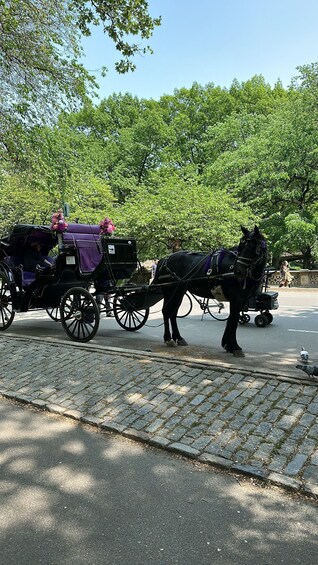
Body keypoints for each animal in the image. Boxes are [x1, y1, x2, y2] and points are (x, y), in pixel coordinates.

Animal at [153, 226, 268, 354]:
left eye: (253, 247)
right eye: (241, 245)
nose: (238, 271)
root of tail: (164, 259)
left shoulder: (242, 300)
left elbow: (231, 320)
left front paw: (227, 344)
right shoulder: (236, 299)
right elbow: (233, 321)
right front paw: (234, 346)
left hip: (179, 291)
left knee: (173, 313)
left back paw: (178, 337)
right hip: (170, 291)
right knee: (166, 311)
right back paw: (168, 338)